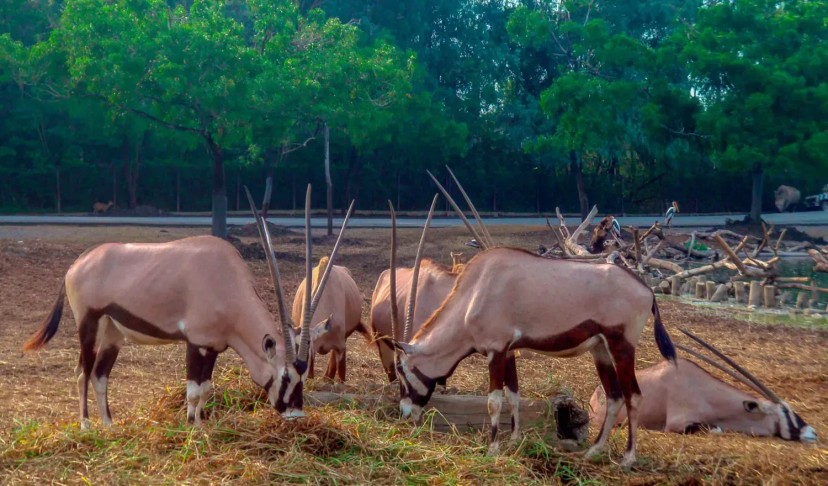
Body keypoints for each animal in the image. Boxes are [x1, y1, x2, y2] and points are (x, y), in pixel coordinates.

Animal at [22, 184, 352, 428]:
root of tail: (77, 263)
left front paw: (200, 425)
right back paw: (86, 426)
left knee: (100, 374)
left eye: (303, 375)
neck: (227, 282)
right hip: (88, 324)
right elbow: (193, 390)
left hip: (114, 332)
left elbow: (205, 389)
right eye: (285, 376)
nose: (296, 413)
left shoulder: (214, 346)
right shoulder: (197, 343)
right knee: (82, 371)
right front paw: (191, 428)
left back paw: (109, 425)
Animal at [392, 249, 676, 466]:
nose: (404, 412)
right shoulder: (508, 351)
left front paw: (492, 449)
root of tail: (646, 291)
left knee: (633, 397)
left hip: (622, 347)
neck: (475, 292)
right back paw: (593, 451)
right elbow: (513, 395)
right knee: (614, 397)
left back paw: (628, 459)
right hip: (601, 351)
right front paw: (514, 440)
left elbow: (494, 401)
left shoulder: (496, 350)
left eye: (401, 370)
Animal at [592, 328, 820, 442]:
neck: (705, 393)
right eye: (785, 413)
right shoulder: (676, 424)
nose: (812, 433)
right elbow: (714, 428)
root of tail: (595, 394)